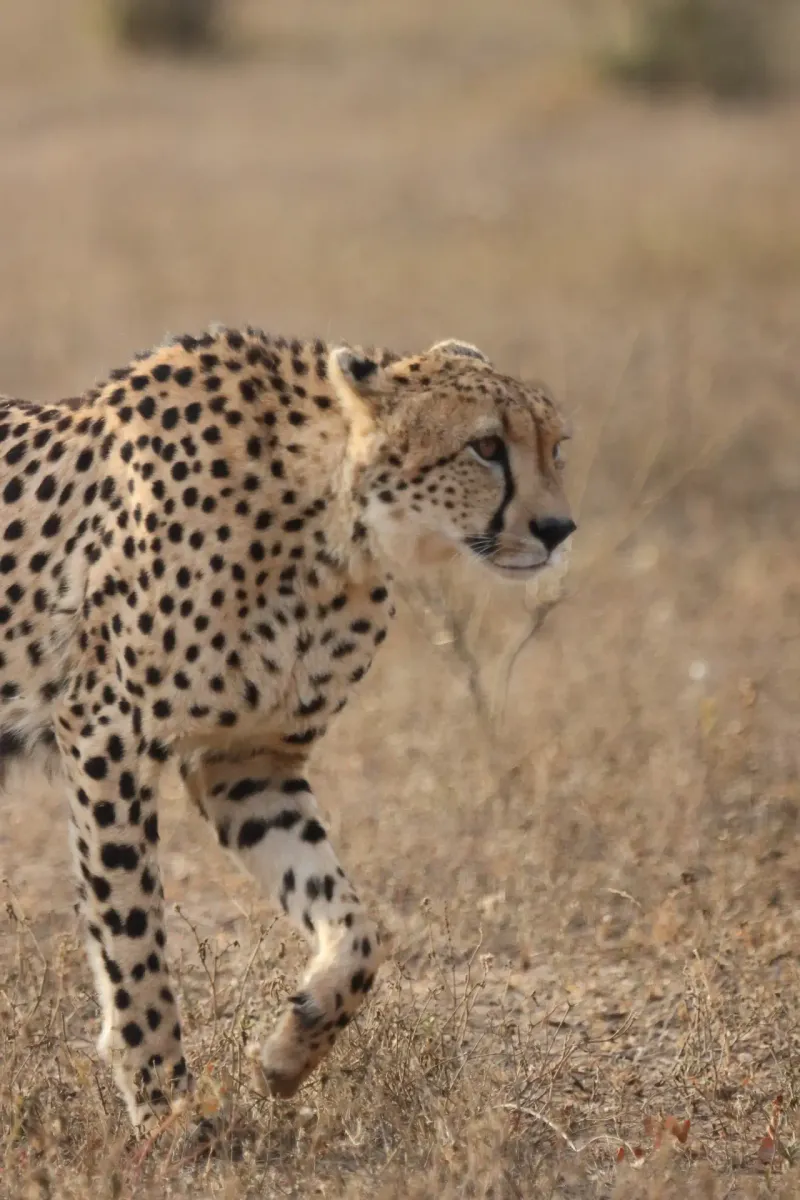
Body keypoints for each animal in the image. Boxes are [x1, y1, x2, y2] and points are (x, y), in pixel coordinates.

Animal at [0, 325, 575, 1134]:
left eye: (557, 447)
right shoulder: (106, 731)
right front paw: (167, 1107)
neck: (328, 522)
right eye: (487, 447)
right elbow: (133, 931)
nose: (558, 530)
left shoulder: (248, 756)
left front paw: (292, 1047)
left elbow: (358, 928)